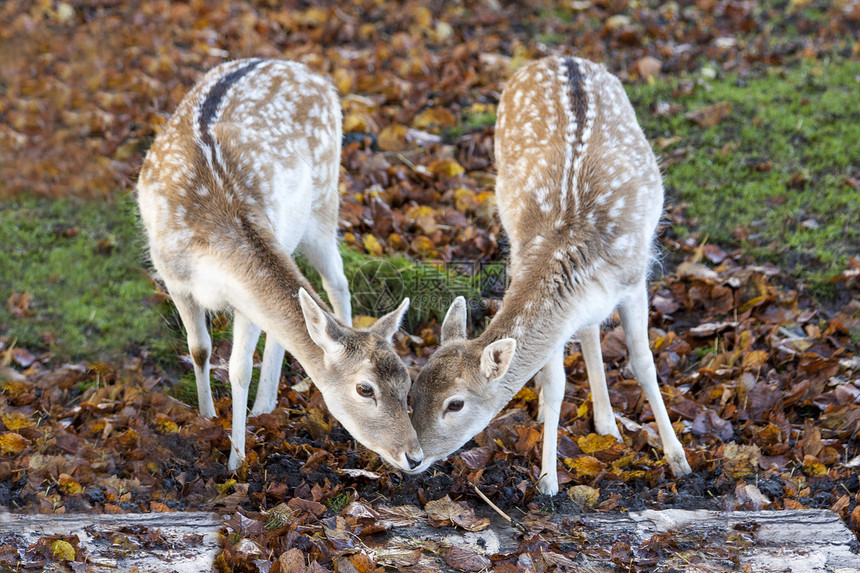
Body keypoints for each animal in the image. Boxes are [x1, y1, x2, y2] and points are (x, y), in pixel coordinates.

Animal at [136, 58, 424, 472]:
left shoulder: (244, 300)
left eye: (406, 381)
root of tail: (307, 70)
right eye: (364, 388)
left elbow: (239, 369)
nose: (415, 457)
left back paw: (266, 403)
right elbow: (200, 349)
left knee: (337, 282)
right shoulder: (173, 277)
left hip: (325, 200)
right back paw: (264, 406)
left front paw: (235, 461)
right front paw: (208, 418)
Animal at [408, 54, 692, 492]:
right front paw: (548, 478)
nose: (412, 457)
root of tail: (562, 57)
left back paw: (607, 425)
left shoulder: (634, 282)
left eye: (455, 403)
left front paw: (679, 460)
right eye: (414, 390)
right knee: (586, 329)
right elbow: (558, 383)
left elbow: (644, 363)